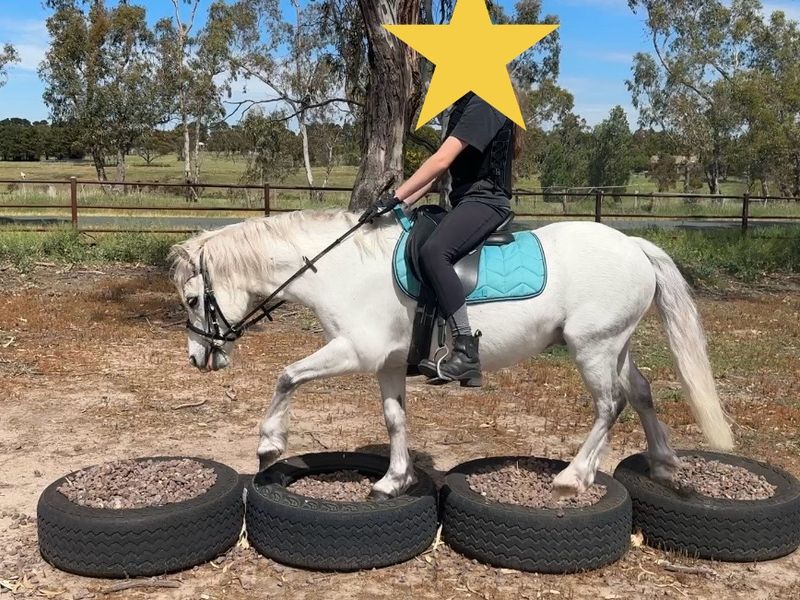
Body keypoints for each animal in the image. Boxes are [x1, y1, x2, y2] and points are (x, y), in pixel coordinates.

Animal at [169, 210, 733, 499]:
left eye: (194, 299)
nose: (198, 358)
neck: (339, 268)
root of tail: (634, 245)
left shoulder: (355, 351)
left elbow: (287, 377)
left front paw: (269, 445)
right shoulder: (387, 363)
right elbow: (395, 419)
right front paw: (394, 480)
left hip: (592, 346)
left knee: (609, 405)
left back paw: (573, 476)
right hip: (616, 344)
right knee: (639, 392)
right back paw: (660, 464)